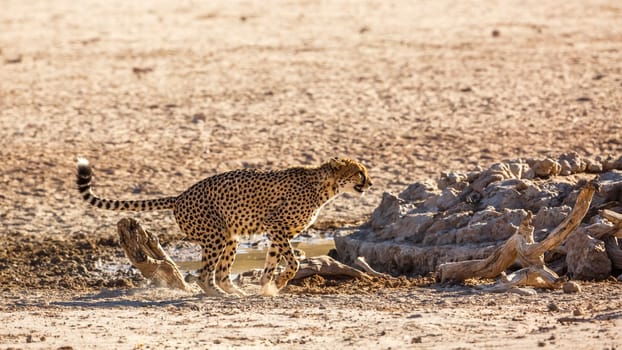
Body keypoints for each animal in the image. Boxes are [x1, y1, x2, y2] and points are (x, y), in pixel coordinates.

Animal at [75, 157, 372, 296]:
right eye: (359, 172)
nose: (370, 183)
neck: (325, 187)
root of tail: (180, 196)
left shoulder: (277, 233)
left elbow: (272, 261)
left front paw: (266, 286)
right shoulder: (276, 226)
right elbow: (294, 262)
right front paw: (277, 282)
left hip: (230, 237)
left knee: (219, 272)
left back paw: (234, 291)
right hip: (216, 235)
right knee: (203, 275)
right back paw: (218, 293)